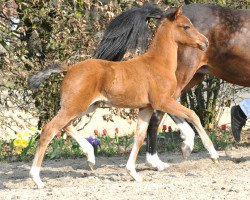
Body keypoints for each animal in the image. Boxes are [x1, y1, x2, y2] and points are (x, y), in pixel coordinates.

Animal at [28, 6, 217, 188]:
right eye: (186, 26)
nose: (205, 42)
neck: (158, 64)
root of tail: (69, 69)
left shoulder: (146, 107)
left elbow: (139, 137)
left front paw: (133, 173)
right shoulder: (163, 101)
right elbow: (193, 115)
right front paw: (212, 154)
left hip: (87, 106)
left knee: (65, 125)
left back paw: (90, 158)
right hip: (75, 106)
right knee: (50, 129)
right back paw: (37, 178)